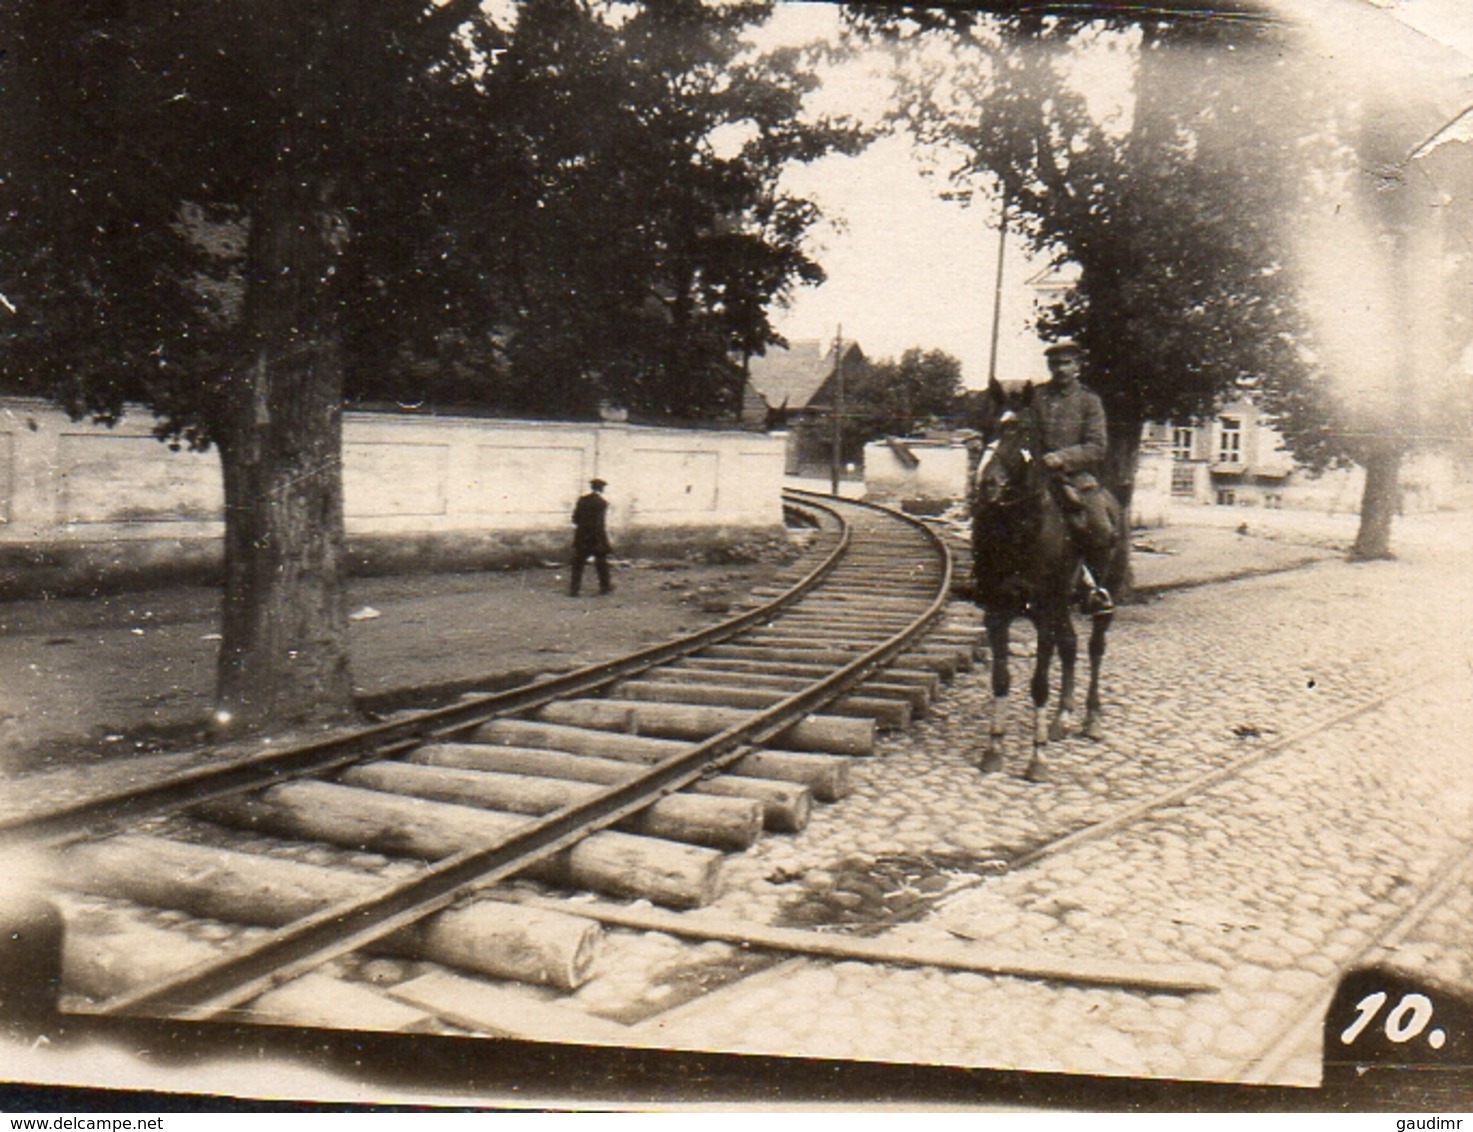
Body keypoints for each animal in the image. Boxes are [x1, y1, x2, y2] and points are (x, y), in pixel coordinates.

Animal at [972, 375, 1119, 784]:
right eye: (986, 426)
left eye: (1022, 430)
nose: (986, 483)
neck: (1019, 530)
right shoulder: (998, 614)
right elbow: (1001, 680)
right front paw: (994, 750)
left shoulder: (1043, 614)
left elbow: (1038, 684)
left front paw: (1036, 760)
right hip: (1061, 606)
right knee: (1070, 645)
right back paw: (1061, 719)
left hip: (1097, 602)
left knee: (1094, 648)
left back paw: (1091, 718)